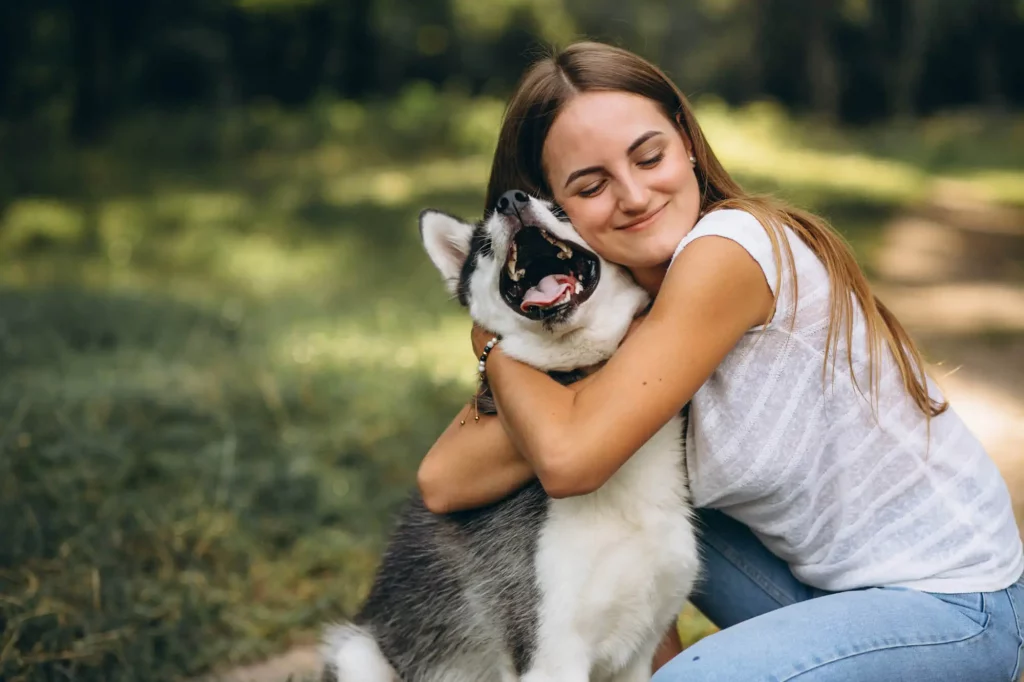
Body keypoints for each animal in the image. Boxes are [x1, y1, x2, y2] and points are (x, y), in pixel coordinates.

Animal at [319, 188, 700, 675]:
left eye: (559, 210)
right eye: (483, 245)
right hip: (356, 651)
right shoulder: (549, 656)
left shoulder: (639, 651)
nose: (511, 199)